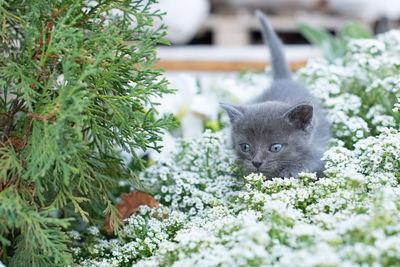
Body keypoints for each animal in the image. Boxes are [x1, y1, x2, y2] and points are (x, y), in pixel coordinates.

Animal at [220, 11, 330, 180]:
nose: (256, 162)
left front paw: (291, 171)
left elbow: (311, 161)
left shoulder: (320, 151)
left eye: (276, 147)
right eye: (245, 147)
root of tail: (284, 79)